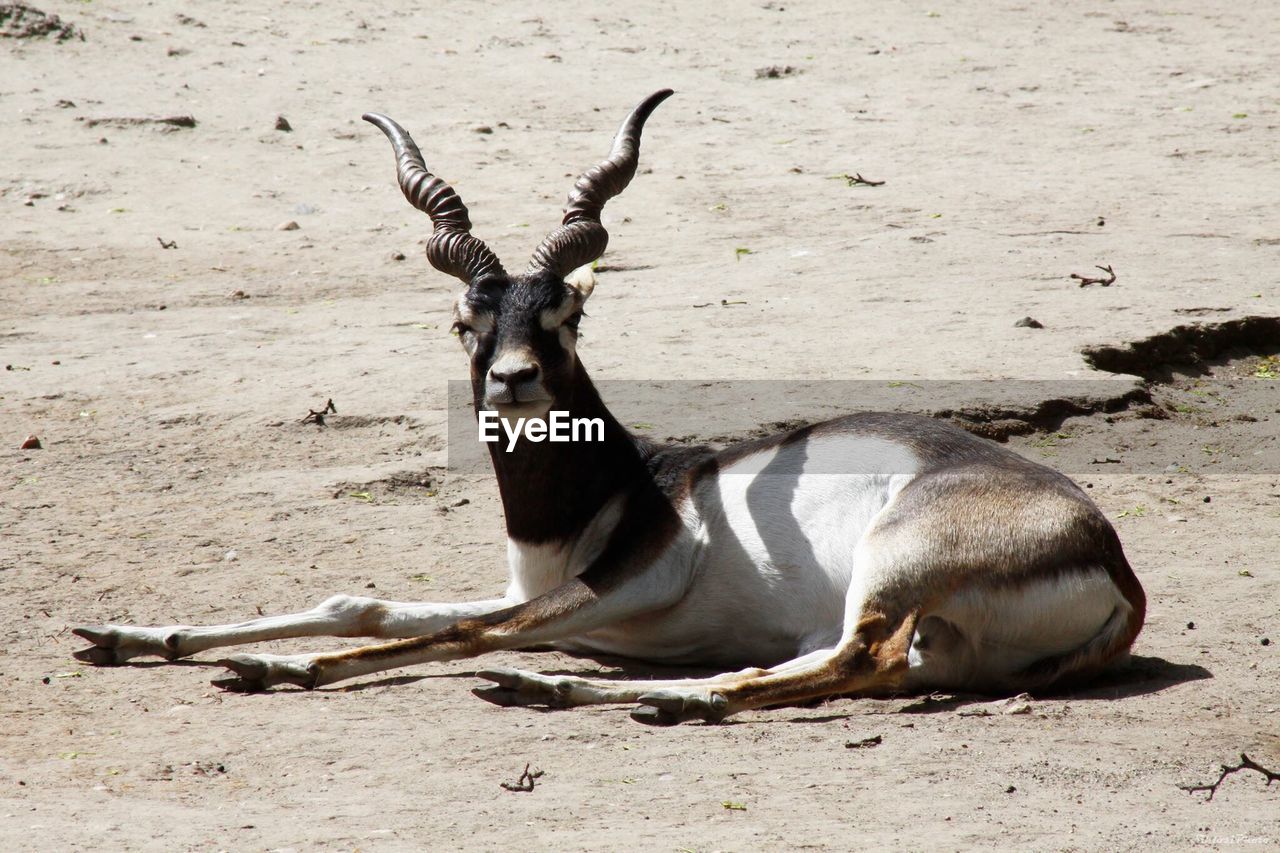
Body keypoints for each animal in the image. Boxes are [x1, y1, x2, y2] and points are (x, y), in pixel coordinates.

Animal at [72, 89, 1152, 722]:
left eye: (565, 315)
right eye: (466, 320)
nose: (512, 380)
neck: (609, 494)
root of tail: (1108, 557)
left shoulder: (615, 583)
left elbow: (450, 631)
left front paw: (280, 669)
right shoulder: (534, 586)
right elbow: (366, 602)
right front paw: (136, 635)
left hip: (890, 571)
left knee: (860, 659)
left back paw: (632, 696)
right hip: (935, 641)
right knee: (863, 666)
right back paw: (559, 684)